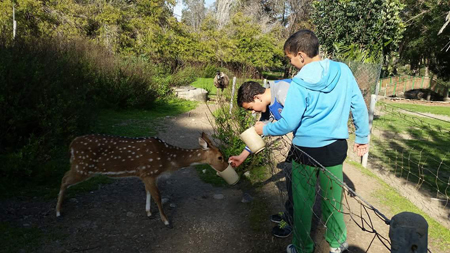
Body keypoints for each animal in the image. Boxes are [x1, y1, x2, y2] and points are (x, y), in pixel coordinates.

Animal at [55, 133, 229, 226]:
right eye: (220, 157)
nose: (227, 166)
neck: (168, 160)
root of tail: (71, 145)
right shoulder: (149, 172)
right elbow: (157, 196)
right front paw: (166, 221)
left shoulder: (146, 175)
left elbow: (148, 193)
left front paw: (148, 212)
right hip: (82, 167)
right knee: (63, 179)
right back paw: (58, 212)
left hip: (79, 167)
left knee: (64, 178)